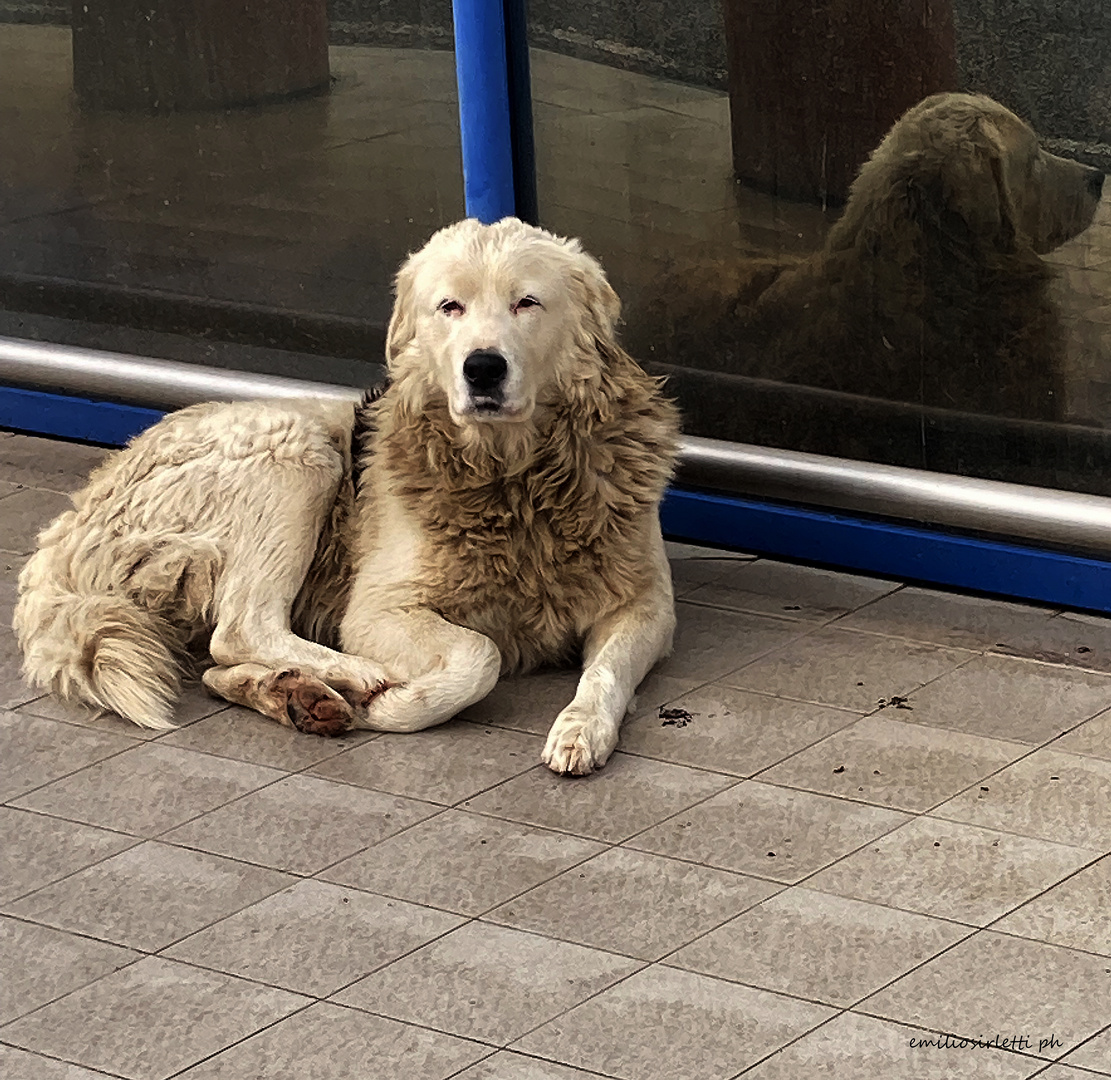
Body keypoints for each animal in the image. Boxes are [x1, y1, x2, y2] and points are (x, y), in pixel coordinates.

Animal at [13, 221, 679, 777]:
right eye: (450, 307)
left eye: (527, 302)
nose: (483, 368)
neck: (512, 480)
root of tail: (63, 530)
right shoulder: (377, 612)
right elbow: (479, 654)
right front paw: (397, 702)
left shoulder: (645, 605)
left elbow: (607, 671)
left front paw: (581, 729)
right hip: (298, 449)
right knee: (242, 626)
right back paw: (348, 677)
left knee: (216, 666)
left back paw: (293, 694)